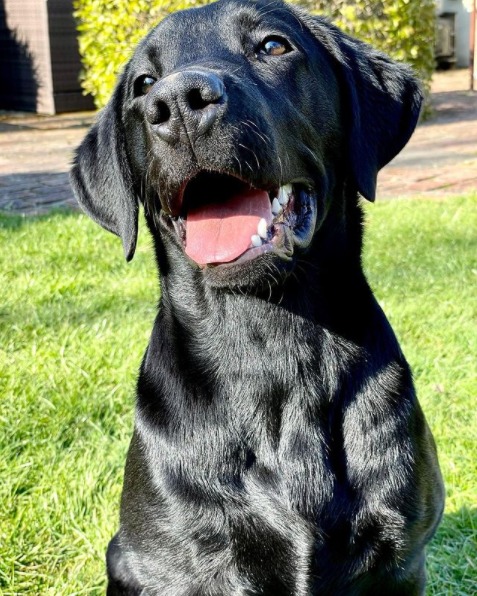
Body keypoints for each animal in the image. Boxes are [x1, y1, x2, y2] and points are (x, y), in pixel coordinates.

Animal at [70, 2, 442, 592]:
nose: (178, 102)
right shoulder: (178, 560)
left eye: (272, 45)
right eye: (143, 83)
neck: (270, 341)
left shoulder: (403, 558)